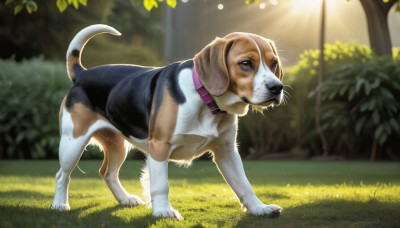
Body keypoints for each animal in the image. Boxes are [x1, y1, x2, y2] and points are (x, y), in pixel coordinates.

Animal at [50, 24, 284, 221]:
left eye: (273, 64)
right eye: (246, 64)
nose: (277, 88)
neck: (205, 99)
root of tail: (82, 74)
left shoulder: (226, 152)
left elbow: (244, 185)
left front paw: (259, 208)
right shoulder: (159, 146)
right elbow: (161, 185)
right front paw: (163, 211)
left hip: (117, 145)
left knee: (107, 173)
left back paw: (125, 199)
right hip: (73, 143)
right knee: (62, 175)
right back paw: (59, 204)